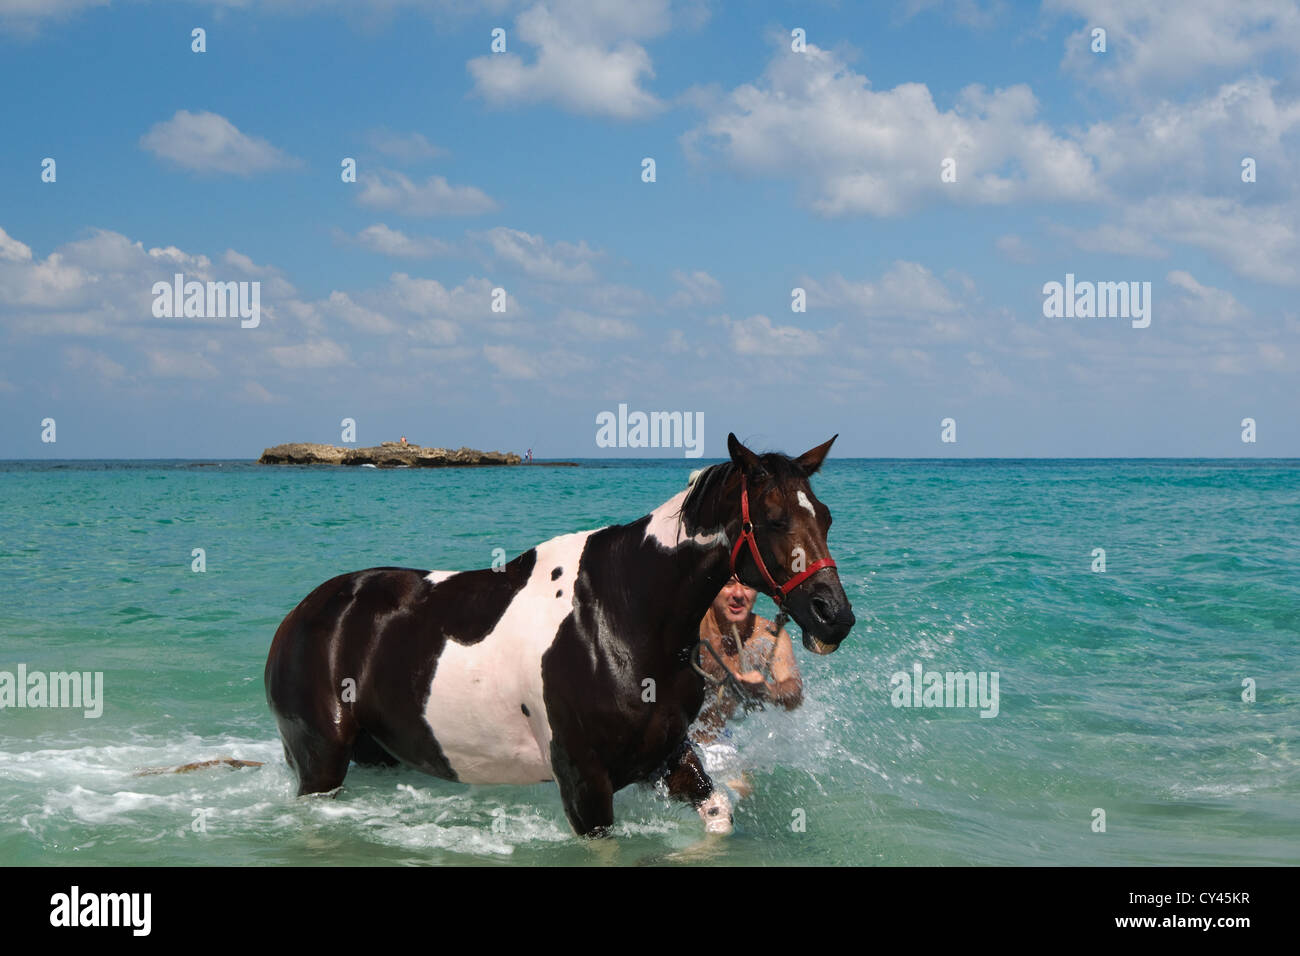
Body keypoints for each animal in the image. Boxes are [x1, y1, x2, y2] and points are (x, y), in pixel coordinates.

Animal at [262, 434, 852, 837]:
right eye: (773, 519)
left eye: (824, 516)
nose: (834, 615)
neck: (622, 614)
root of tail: (300, 615)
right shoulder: (584, 781)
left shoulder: (668, 758)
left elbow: (719, 816)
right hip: (320, 760)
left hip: (378, 752)